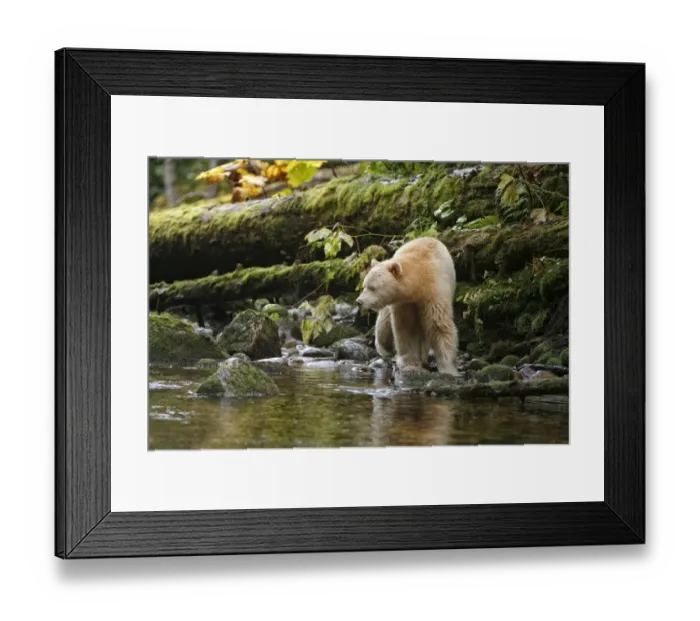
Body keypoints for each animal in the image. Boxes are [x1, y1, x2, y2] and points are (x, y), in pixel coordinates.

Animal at [356, 236, 460, 376]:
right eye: (364, 286)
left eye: (372, 287)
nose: (359, 301)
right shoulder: (404, 302)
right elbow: (407, 327)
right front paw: (410, 362)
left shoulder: (435, 292)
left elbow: (438, 325)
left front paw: (448, 368)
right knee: (385, 322)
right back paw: (385, 348)